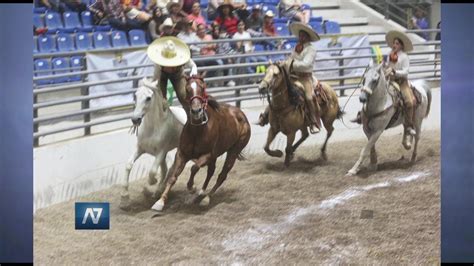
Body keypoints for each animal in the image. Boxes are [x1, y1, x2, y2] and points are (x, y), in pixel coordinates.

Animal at [118, 77, 187, 210]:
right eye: (135, 95)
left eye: (148, 98)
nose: (135, 119)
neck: (152, 128)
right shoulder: (140, 148)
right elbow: (129, 164)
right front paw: (124, 196)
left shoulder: (161, 152)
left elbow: (152, 171)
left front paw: (150, 184)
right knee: (166, 169)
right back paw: (157, 192)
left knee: (170, 170)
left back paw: (158, 191)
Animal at [152, 75, 252, 212]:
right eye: (187, 89)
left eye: (203, 87)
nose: (196, 111)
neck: (198, 130)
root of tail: (242, 115)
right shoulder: (182, 153)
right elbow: (173, 177)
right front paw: (160, 202)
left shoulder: (208, 155)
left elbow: (194, 167)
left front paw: (192, 187)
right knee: (211, 172)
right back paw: (202, 193)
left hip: (233, 151)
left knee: (222, 175)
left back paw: (206, 197)